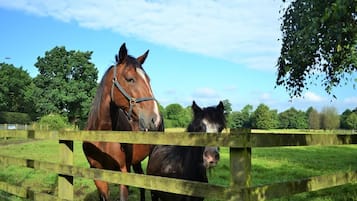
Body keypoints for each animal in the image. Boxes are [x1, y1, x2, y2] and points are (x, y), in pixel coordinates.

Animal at [82, 42, 161, 201]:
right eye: (130, 79)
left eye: (148, 80)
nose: (154, 118)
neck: (103, 135)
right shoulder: (97, 173)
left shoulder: (123, 171)